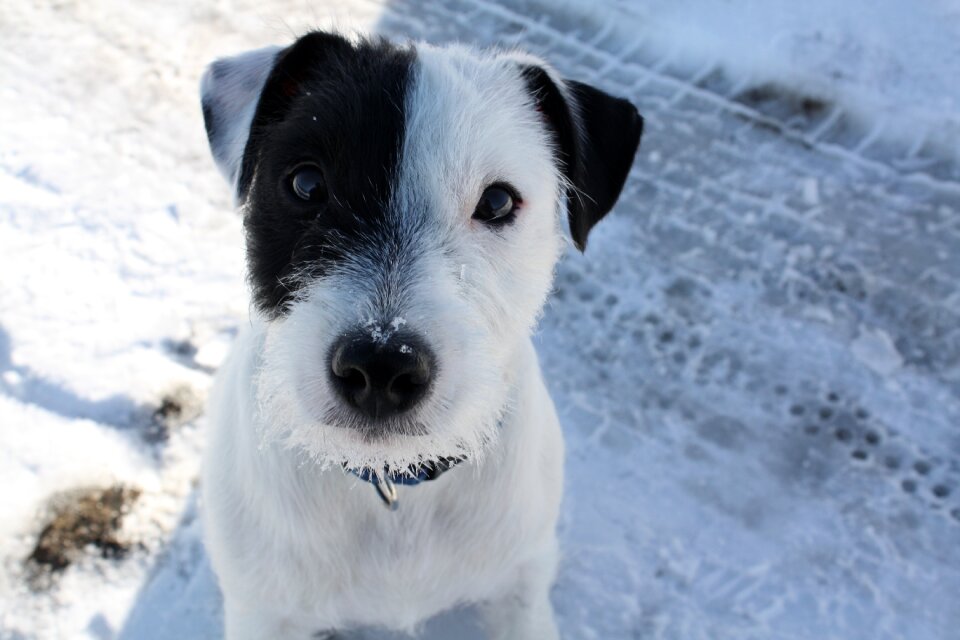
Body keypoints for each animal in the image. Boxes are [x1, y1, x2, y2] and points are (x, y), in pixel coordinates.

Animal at [199, 31, 640, 640]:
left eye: (498, 201)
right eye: (306, 183)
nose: (381, 365)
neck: (396, 484)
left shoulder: (520, 591)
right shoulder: (264, 611)